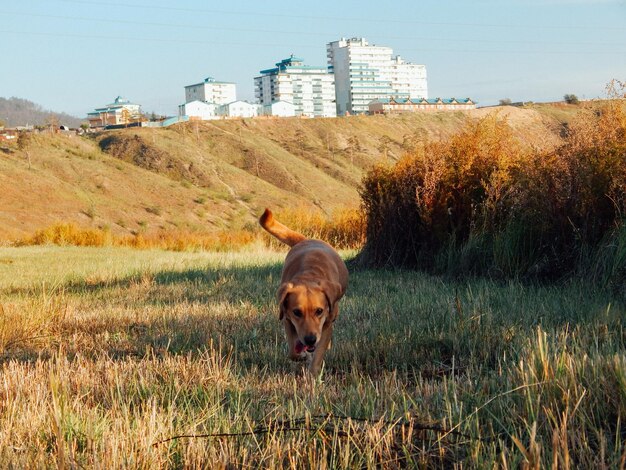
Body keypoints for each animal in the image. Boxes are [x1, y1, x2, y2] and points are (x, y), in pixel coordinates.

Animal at [258, 208, 346, 374]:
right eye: (297, 312)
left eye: (319, 311)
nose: (310, 339)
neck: (308, 275)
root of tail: (305, 239)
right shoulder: (287, 318)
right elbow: (293, 351)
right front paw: (301, 356)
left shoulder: (326, 324)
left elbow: (319, 353)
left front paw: (313, 373)